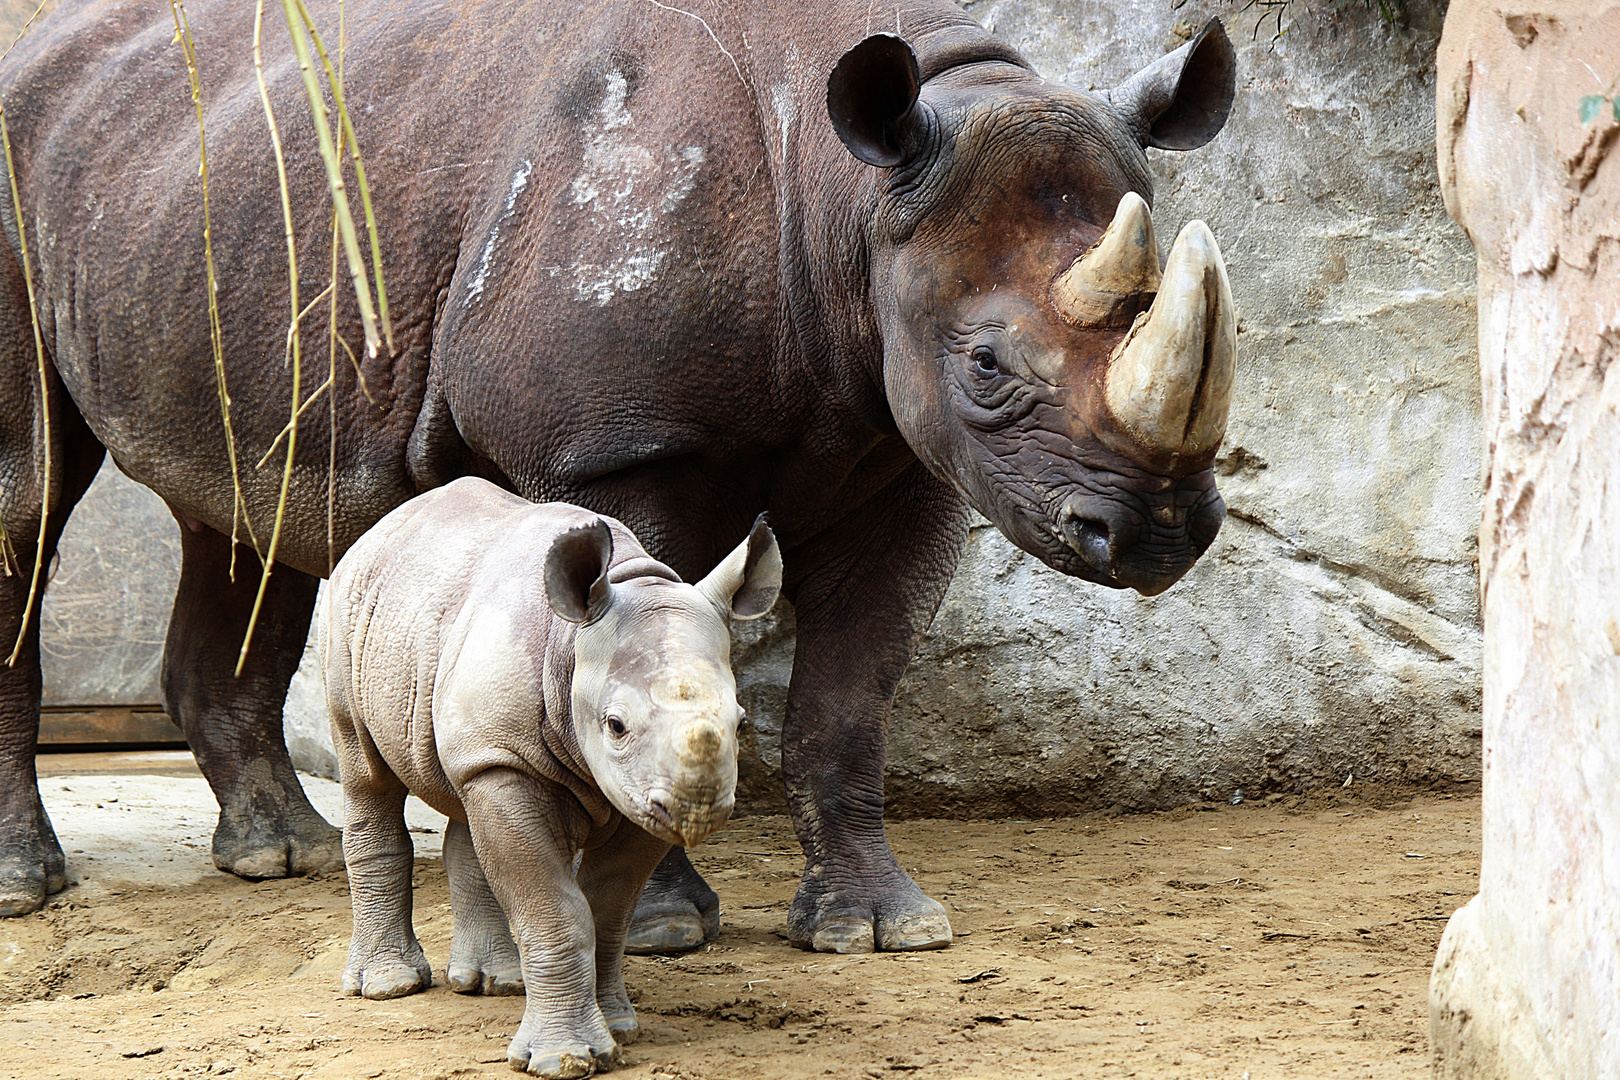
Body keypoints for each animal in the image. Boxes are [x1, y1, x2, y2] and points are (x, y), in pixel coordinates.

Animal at [0, 0, 1231, 952]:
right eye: (985, 365)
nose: (1158, 534)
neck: (848, 196)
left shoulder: (903, 450)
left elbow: (848, 698)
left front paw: (884, 927)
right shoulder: (622, 442)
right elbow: (640, 651)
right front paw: (664, 928)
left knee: (248, 512)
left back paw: (280, 854)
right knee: (30, 495)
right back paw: (30, 889)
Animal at [322, 476, 777, 1075]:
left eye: (741, 722)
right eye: (615, 725)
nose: (697, 810)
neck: (573, 647)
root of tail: (381, 528)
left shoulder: (631, 793)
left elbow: (607, 910)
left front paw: (621, 1029)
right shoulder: (508, 760)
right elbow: (556, 911)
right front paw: (564, 1059)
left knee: (464, 797)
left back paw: (495, 982)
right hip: (350, 612)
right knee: (367, 776)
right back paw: (388, 986)